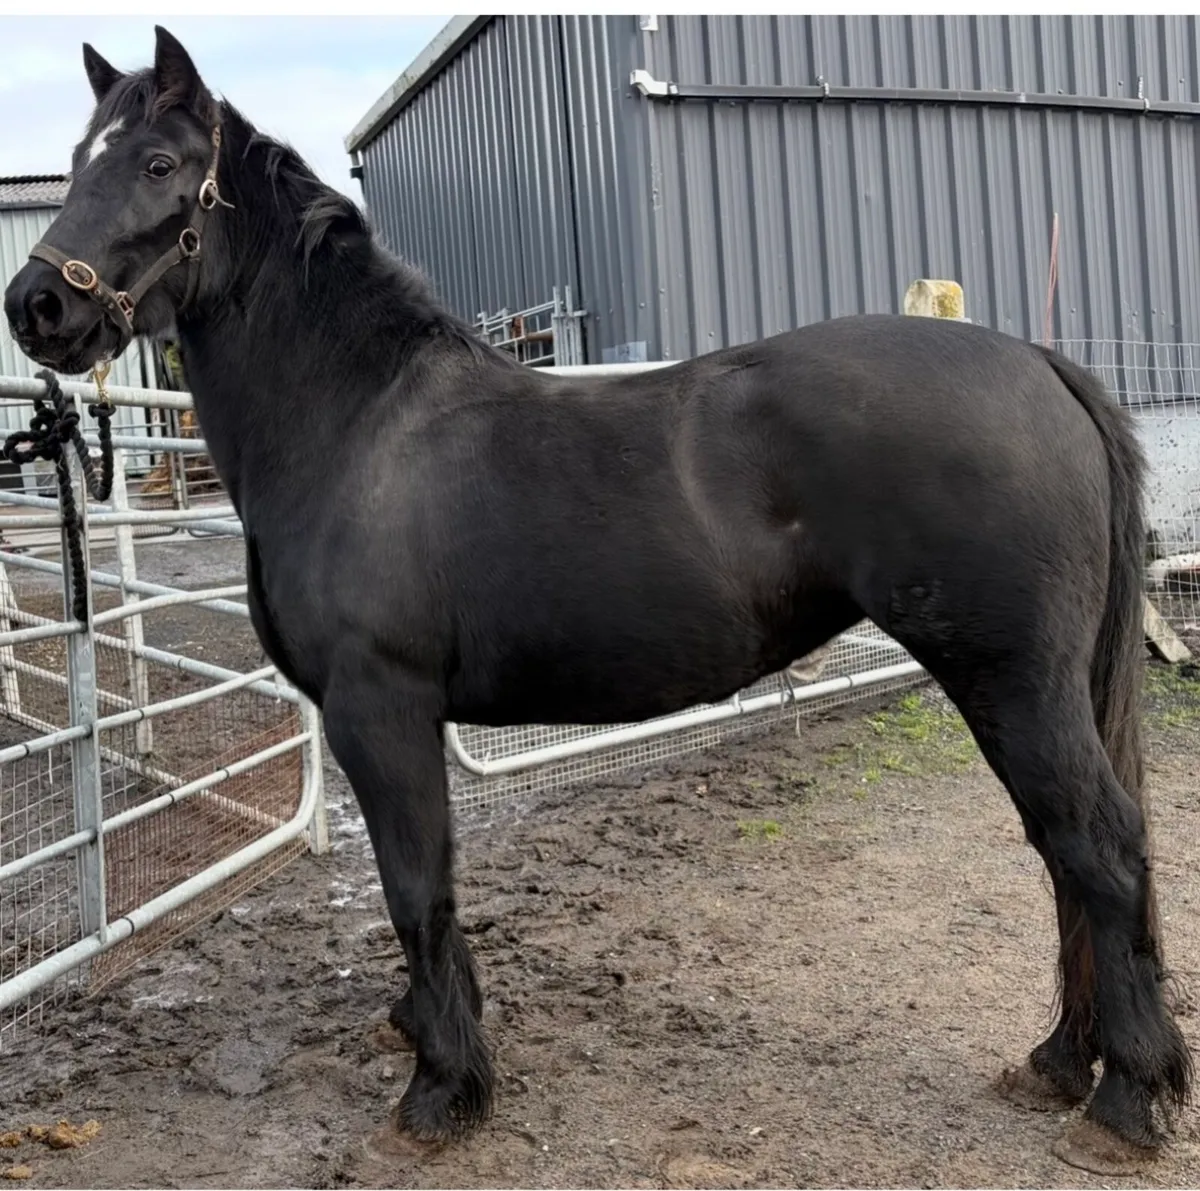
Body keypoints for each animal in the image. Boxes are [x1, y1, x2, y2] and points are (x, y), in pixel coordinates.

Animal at [4, 26, 1191, 1173]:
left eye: (160, 164)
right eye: (77, 157)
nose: (38, 305)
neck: (356, 422)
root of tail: (1041, 366)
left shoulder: (378, 710)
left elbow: (415, 889)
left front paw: (442, 1090)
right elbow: (426, 891)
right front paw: (429, 1035)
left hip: (1012, 681)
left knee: (1096, 846)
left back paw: (1124, 1098)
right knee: (1062, 854)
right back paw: (1062, 1061)